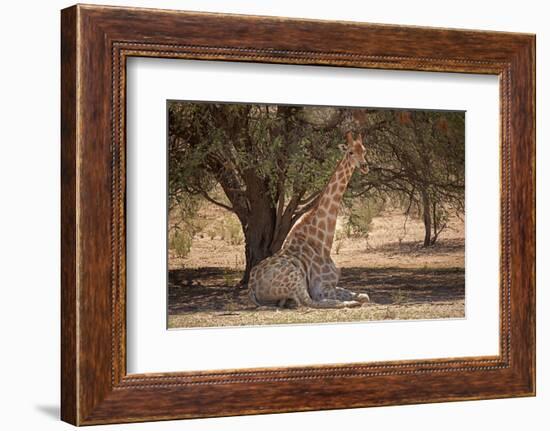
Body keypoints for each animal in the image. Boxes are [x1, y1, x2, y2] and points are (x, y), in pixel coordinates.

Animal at [249, 130, 370, 308]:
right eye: (350, 152)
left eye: (364, 150)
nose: (364, 166)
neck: (322, 242)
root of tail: (251, 288)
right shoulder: (322, 288)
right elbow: (343, 299)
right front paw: (352, 301)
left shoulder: (333, 285)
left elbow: (364, 295)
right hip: (294, 276)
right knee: (311, 302)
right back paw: (349, 303)